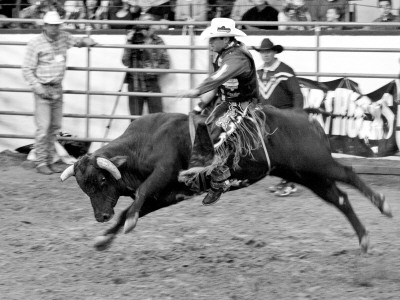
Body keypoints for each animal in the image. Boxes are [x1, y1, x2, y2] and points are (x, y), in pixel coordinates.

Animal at [61, 106, 392, 252]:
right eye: (84, 188)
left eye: (101, 182)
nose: (101, 216)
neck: (143, 144)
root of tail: (309, 120)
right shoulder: (165, 195)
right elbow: (133, 208)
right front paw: (105, 238)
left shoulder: (163, 175)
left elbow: (139, 197)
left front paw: (121, 226)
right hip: (305, 174)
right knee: (340, 198)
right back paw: (363, 238)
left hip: (317, 163)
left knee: (348, 174)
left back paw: (383, 205)